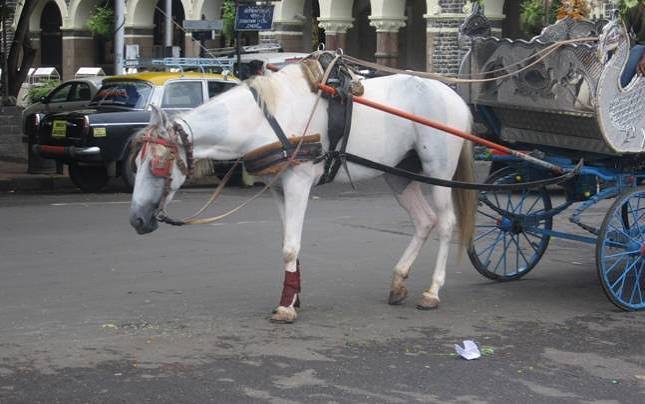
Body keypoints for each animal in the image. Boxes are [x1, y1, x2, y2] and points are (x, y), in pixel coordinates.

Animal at [129, 57, 477, 323]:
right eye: (137, 162)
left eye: (157, 164)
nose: (137, 220)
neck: (265, 119)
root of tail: (453, 94)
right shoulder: (278, 188)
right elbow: (288, 243)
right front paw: (292, 297)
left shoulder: (298, 182)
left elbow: (290, 247)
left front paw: (286, 308)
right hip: (399, 173)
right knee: (424, 221)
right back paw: (399, 280)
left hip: (439, 170)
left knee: (445, 223)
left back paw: (432, 291)